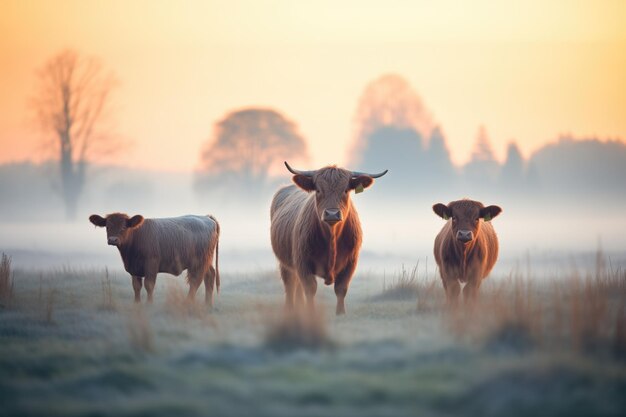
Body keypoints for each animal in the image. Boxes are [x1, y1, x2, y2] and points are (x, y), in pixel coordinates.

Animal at [272, 161, 386, 314]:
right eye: (318, 190)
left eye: (345, 190)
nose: (332, 214)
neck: (332, 237)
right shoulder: (303, 262)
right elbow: (310, 288)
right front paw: (310, 313)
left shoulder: (351, 262)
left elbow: (341, 288)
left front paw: (340, 313)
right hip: (285, 263)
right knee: (290, 285)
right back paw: (290, 309)